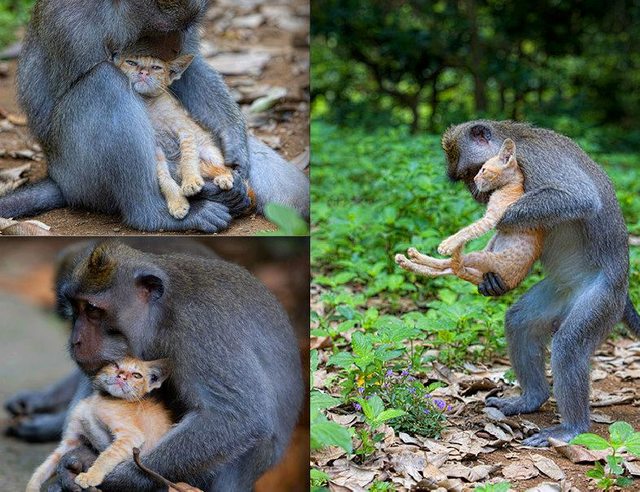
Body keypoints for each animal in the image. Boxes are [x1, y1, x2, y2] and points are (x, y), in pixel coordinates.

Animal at [0, 0, 308, 233]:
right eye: (161, 30)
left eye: (184, 27)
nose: (174, 47)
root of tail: (58, 179)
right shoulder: (69, 28)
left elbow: (188, 71)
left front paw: (234, 140)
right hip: (80, 175)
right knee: (104, 82)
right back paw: (154, 213)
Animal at [26, 358, 172, 492]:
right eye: (115, 365)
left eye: (137, 375)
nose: (122, 376)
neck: (99, 399)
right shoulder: (71, 440)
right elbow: (48, 464)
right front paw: (32, 486)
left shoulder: (131, 436)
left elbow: (107, 455)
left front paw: (90, 476)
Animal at [398, 137, 544, 292]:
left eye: (484, 170)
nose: (474, 179)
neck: (511, 185)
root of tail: (510, 284)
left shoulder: (490, 219)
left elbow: (468, 229)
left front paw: (448, 244)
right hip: (488, 246)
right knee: (448, 269)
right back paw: (407, 260)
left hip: (481, 257)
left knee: (451, 266)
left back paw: (413, 258)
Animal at [440, 119, 640, 446]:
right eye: (466, 178)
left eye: (473, 172)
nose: (476, 193)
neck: (513, 145)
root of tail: (622, 286)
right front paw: (492, 281)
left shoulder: (536, 159)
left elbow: (579, 197)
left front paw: (497, 217)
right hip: (560, 291)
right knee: (520, 322)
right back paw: (531, 398)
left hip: (602, 299)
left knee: (569, 345)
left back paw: (572, 428)